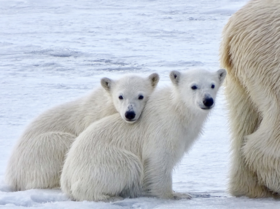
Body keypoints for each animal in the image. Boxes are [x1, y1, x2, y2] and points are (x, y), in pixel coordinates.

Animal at [5, 73, 160, 191]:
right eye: (120, 96)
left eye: (141, 96)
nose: (129, 114)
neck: (108, 106)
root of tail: (12, 175)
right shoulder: (95, 119)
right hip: (40, 150)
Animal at [60, 68, 225, 201]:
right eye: (193, 86)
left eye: (212, 85)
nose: (208, 100)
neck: (178, 111)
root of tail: (65, 179)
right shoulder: (162, 129)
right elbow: (159, 160)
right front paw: (175, 194)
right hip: (102, 162)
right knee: (128, 164)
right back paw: (111, 196)